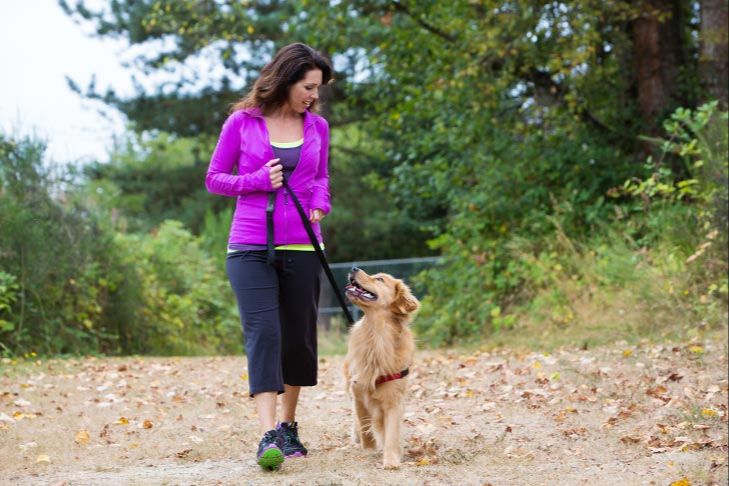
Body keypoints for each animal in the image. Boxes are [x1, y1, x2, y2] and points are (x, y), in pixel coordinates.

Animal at [342, 268, 420, 468]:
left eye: (379, 279)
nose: (353, 268)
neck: (376, 336)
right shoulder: (358, 391)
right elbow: (364, 424)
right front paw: (369, 448)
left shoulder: (393, 399)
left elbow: (391, 432)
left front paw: (391, 459)